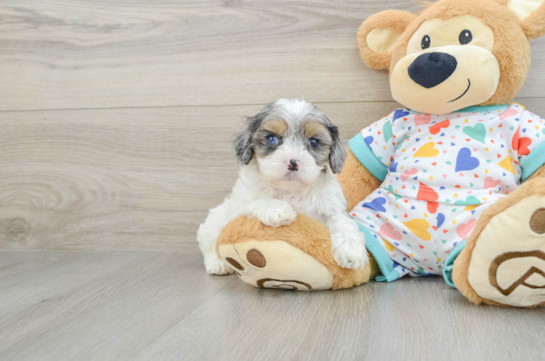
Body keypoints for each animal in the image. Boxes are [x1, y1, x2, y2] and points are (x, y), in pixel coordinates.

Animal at [194, 98, 366, 272]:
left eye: (313, 142)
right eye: (272, 139)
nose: (293, 163)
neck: (290, 190)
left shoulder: (332, 203)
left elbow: (342, 220)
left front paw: (351, 250)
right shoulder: (239, 207)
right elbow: (259, 202)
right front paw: (279, 209)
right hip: (215, 220)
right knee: (209, 242)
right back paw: (217, 264)